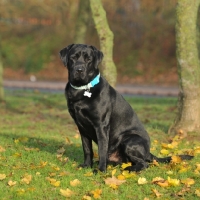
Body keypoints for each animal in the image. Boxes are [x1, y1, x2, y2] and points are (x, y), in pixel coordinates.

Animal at [59, 43, 192, 172]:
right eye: (73, 57)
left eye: (88, 59)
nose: (79, 69)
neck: (81, 90)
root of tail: (148, 152)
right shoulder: (81, 126)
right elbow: (87, 149)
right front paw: (87, 166)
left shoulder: (101, 125)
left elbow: (102, 149)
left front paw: (101, 170)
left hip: (129, 140)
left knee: (144, 163)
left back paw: (129, 169)